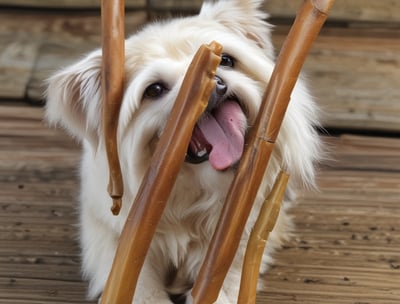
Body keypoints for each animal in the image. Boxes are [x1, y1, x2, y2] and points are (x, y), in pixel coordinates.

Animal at [45, 0, 320, 302]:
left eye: (226, 60)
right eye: (154, 89)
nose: (213, 82)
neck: (194, 190)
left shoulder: (239, 240)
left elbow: (225, 281)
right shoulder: (112, 241)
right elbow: (140, 288)